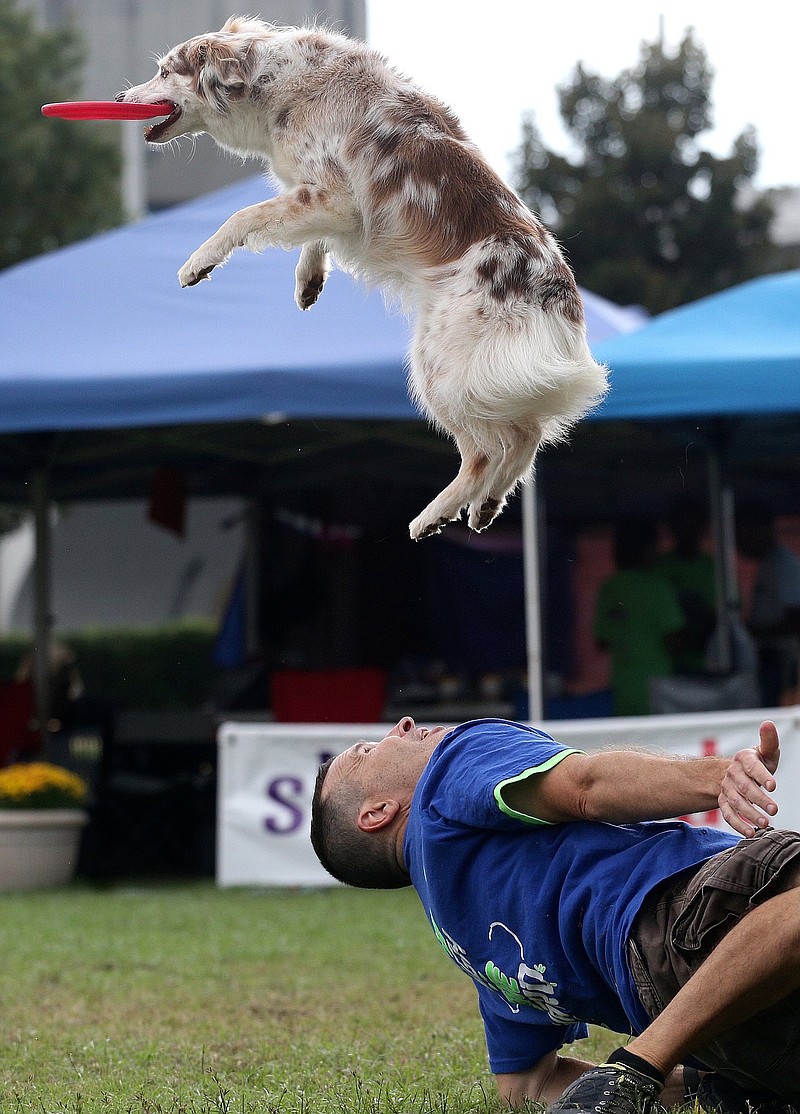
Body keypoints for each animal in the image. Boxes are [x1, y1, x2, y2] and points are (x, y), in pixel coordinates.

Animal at [117, 17, 606, 539]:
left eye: (165, 72)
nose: (123, 97)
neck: (276, 83)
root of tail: (560, 301)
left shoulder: (336, 196)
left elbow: (242, 216)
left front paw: (199, 261)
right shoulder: (330, 206)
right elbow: (313, 236)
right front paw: (309, 278)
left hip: (441, 367)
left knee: (490, 447)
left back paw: (435, 514)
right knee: (525, 433)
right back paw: (487, 504)